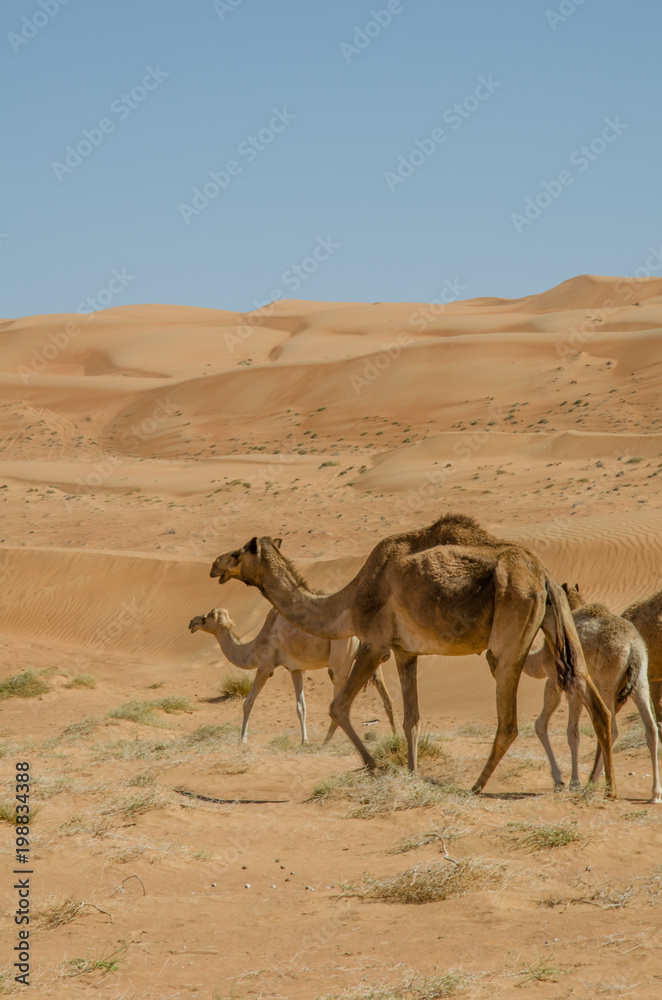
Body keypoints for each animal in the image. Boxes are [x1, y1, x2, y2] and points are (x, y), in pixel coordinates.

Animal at [188, 607, 396, 744]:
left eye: (206, 617)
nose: (192, 622)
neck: (254, 647)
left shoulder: (265, 667)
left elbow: (248, 703)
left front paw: (242, 740)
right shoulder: (295, 669)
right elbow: (300, 706)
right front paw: (304, 740)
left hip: (340, 660)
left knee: (340, 700)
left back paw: (326, 742)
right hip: (372, 655)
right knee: (387, 698)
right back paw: (395, 736)